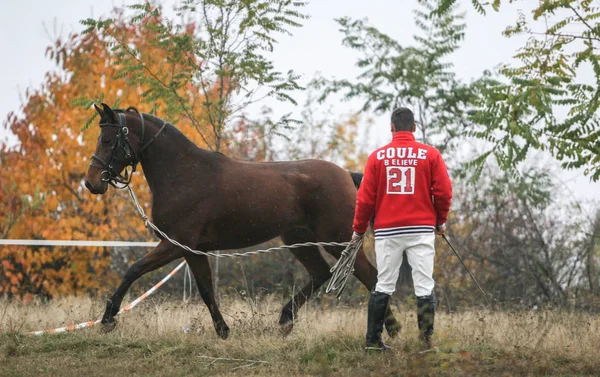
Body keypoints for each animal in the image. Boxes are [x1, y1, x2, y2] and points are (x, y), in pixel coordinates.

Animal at [83, 103, 398, 338]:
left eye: (108, 140)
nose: (91, 183)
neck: (184, 173)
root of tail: (346, 175)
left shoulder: (176, 245)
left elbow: (133, 270)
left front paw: (108, 319)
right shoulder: (192, 251)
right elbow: (206, 290)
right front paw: (223, 331)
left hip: (338, 240)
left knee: (370, 276)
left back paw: (390, 331)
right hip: (299, 240)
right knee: (321, 273)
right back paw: (285, 321)